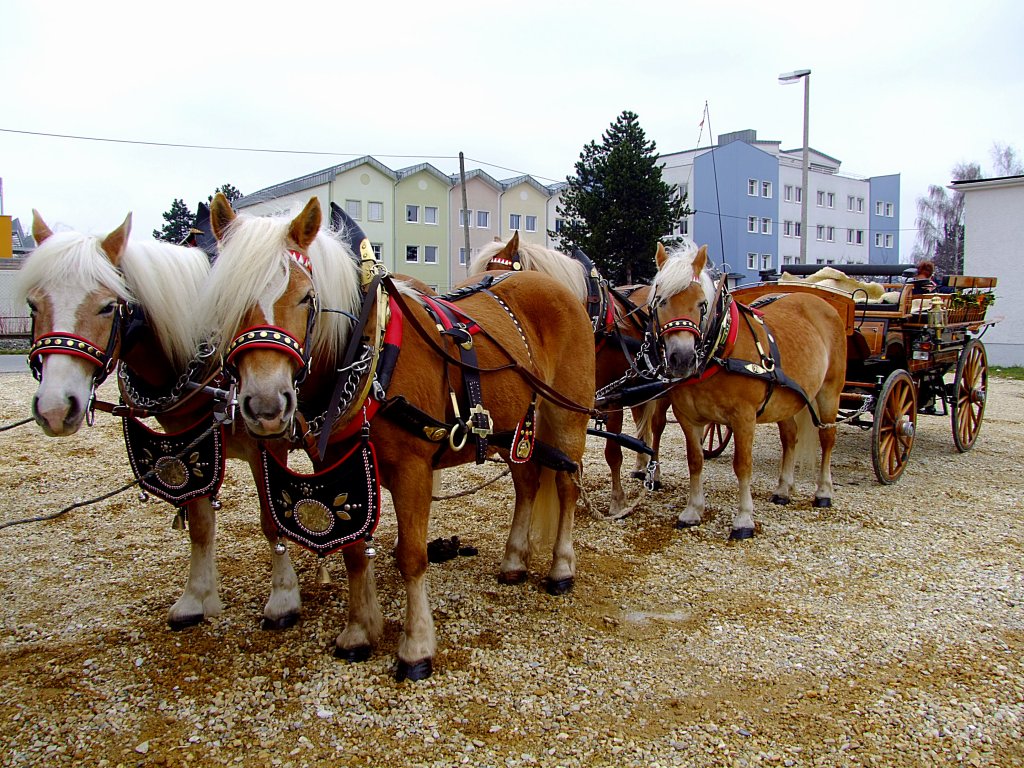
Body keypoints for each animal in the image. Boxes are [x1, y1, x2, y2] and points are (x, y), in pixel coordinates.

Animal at [16, 211, 301, 630]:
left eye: (108, 306)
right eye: (34, 305)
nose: (55, 408)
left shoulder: (270, 443)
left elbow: (271, 519)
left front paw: (283, 598)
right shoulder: (191, 447)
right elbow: (200, 524)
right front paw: (196, 597)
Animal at [200, 192, 598, 679]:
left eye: (307, 297)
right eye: (224, 300)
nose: (265, 406)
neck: (368, 357)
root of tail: (555, 288)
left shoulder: (412, 469)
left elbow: (412, 556)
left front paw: (417, 646)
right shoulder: (341, 464)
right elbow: (353, 550)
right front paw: (359, 630)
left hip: (566, 415)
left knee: (565, 484)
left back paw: (561, 568)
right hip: (510, 428)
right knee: (526, 483)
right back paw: (513, 560)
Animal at [643, 243, 843, 536]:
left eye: (701, 304)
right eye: (661, 301)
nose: (682, 358)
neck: (720, 348)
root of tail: (819, 302)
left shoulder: (744, 417)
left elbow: (742, 464)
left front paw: (744, 518)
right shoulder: (688, 417)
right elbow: (695, 460)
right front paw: (693, 511)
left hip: (829, 391)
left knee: (827, 438)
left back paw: (824, 492)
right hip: (786, 400)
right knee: (790, 437)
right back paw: (783, 489)